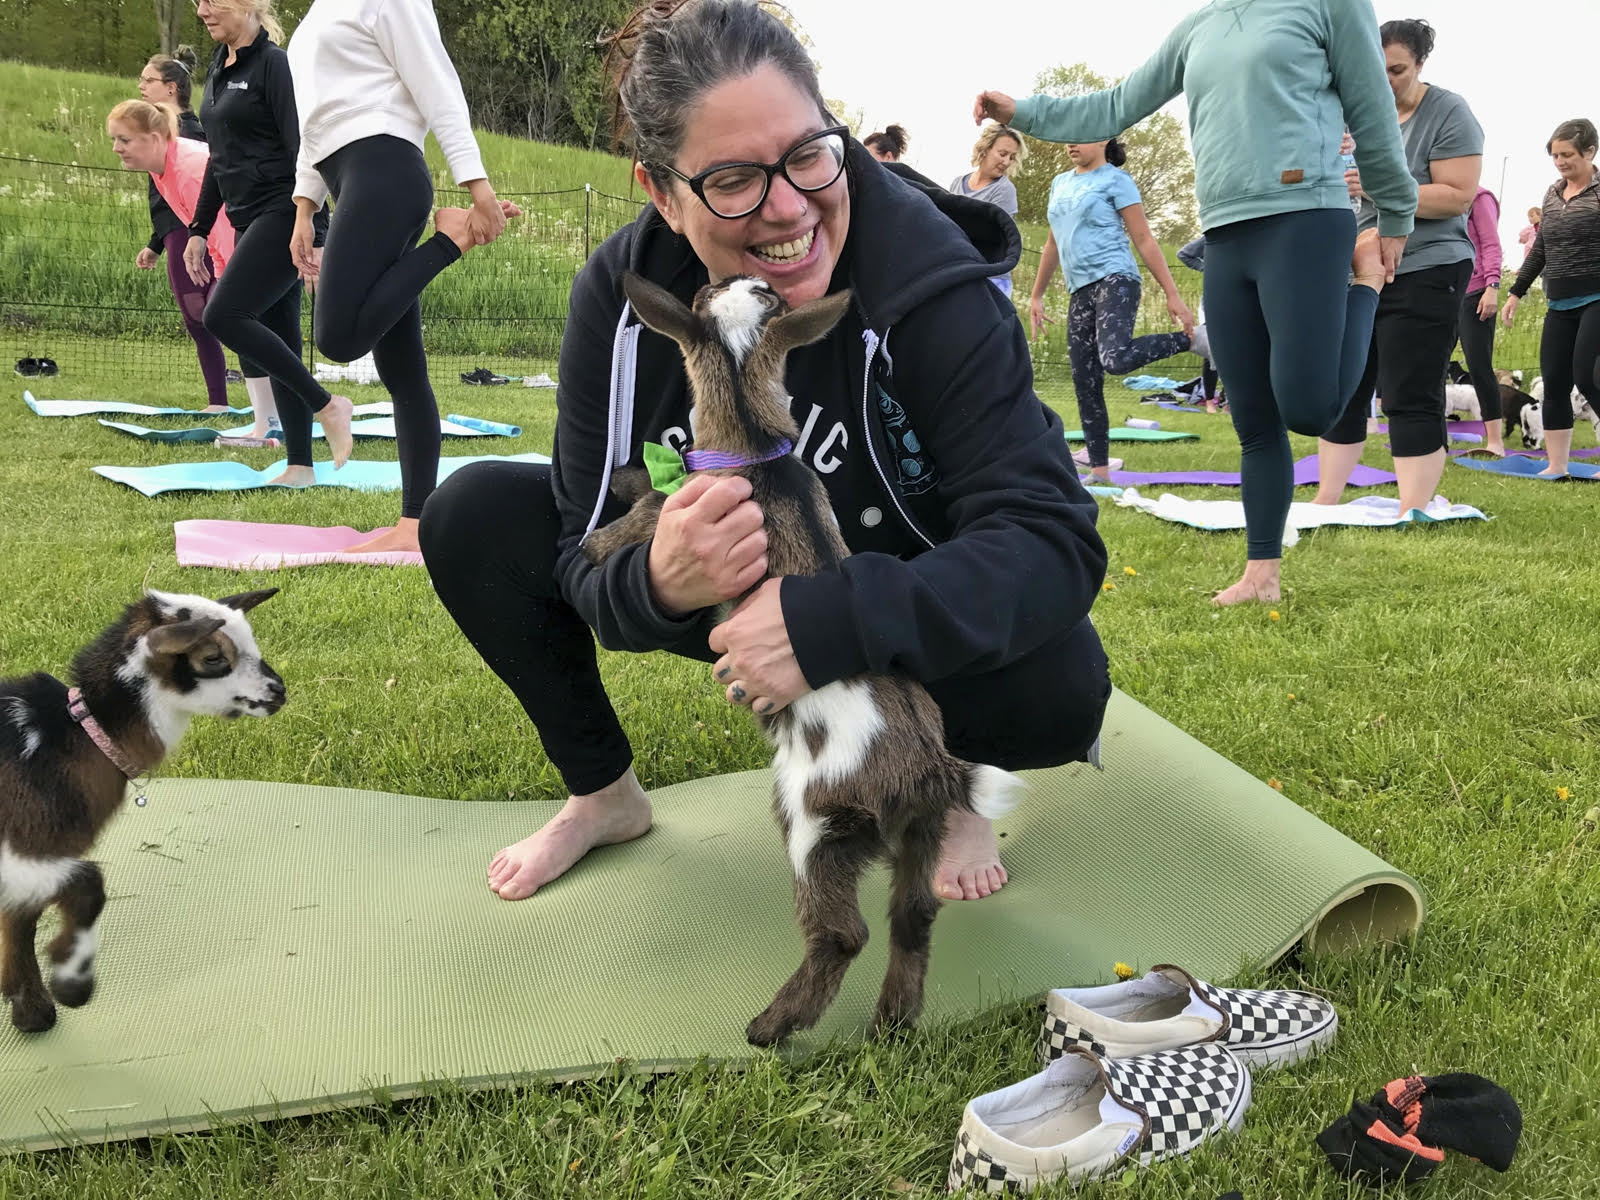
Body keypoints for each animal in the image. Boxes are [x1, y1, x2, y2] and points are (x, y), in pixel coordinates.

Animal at [0, 588, 284, 1036]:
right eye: (212, 658)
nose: (279, 692)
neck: (64, 738)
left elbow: (18, 920)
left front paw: (30, 1010)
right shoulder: (23, 850)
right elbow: (88, 883)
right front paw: (70, 985)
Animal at [588, 276, 1024, 1049]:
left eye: (700, 293)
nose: (740, 280)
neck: (756, 445)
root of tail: (930, 770)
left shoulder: (682, 509)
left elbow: (649, 512)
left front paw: (598, 537)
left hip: (816, 824)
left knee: (844, 934)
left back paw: (770, 1026)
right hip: (921, 832)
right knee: (913, 918)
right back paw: (890, 1025)